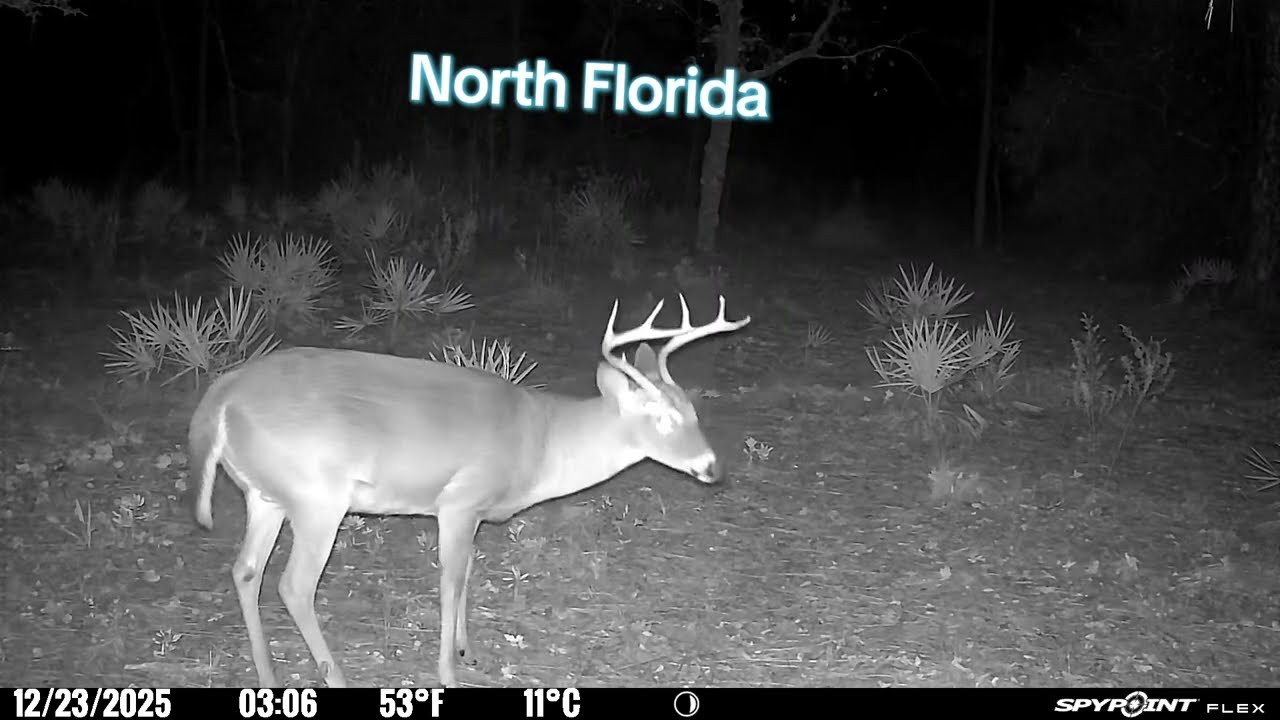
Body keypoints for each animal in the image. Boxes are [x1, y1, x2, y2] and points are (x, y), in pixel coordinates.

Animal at [187, 293, 751, 688]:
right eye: (663, 418)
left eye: (694, 410)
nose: (712, 469)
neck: (542, 442)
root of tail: (220, 398)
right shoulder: (459, 499)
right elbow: (451, 581)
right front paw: (448, 674)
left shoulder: (475, 512)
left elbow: (469, 574)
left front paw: (467, 650)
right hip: (317, 497)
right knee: (294, 585)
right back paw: (336, 678)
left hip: (266, 496)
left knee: (245, 571)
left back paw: (267, 677)